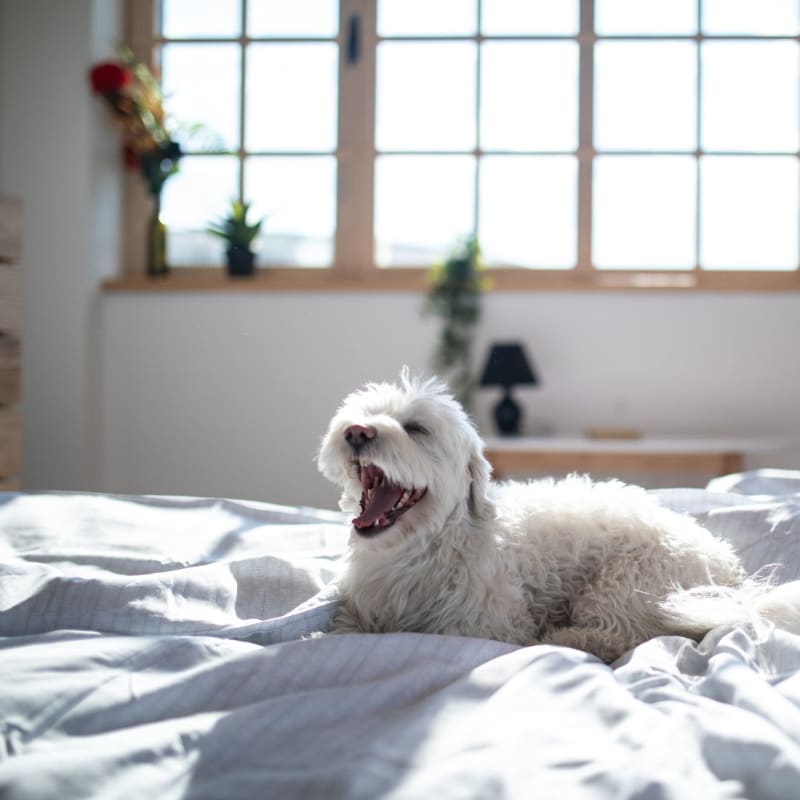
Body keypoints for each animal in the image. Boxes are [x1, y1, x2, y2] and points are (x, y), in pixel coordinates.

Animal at [316, 368, 796, 664]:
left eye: (416, 429)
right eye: (363, 415)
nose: (356, 431)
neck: (422, 549)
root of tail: (728, 570)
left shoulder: (485, 624)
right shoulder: (362, 609)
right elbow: (342, 629)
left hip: (625, 582)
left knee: (621, 635)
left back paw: (562, 639)